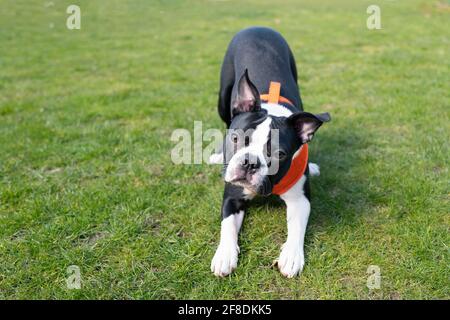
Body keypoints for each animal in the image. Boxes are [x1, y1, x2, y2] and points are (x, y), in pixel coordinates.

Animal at [211, 26, 330, 278]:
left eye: (280, 154)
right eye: (235, 139)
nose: (249, 162)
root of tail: (257, 27)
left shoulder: (300, 199)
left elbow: (297, 227)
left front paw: (291, 256)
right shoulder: (232, 197)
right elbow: (227, 226)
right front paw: (225, 255)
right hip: (223, 95)